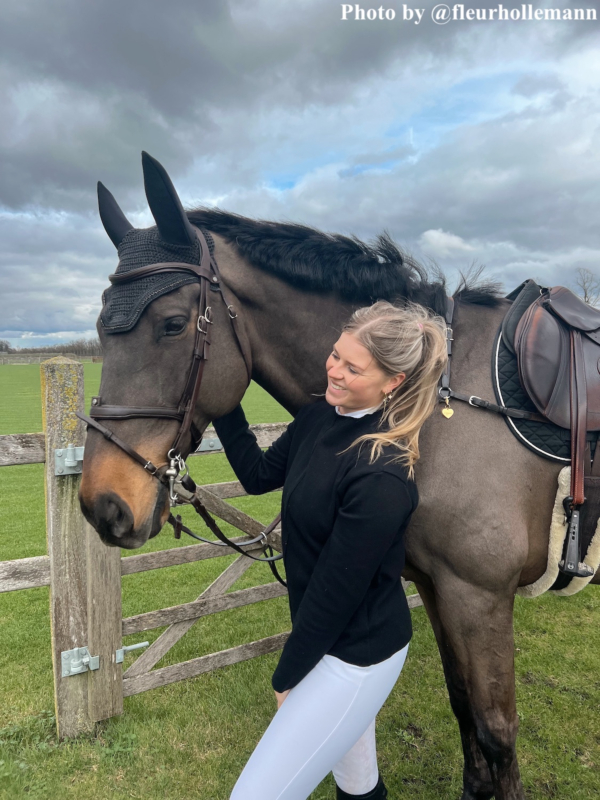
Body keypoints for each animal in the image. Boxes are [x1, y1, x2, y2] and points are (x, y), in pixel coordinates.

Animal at [79, 152, 600, 800]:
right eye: (101, 328)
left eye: (173, 324)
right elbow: (461, 706)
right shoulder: (439, 587)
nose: (103, 505)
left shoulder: (479, 595)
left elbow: (495, 731)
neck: (434, 399)